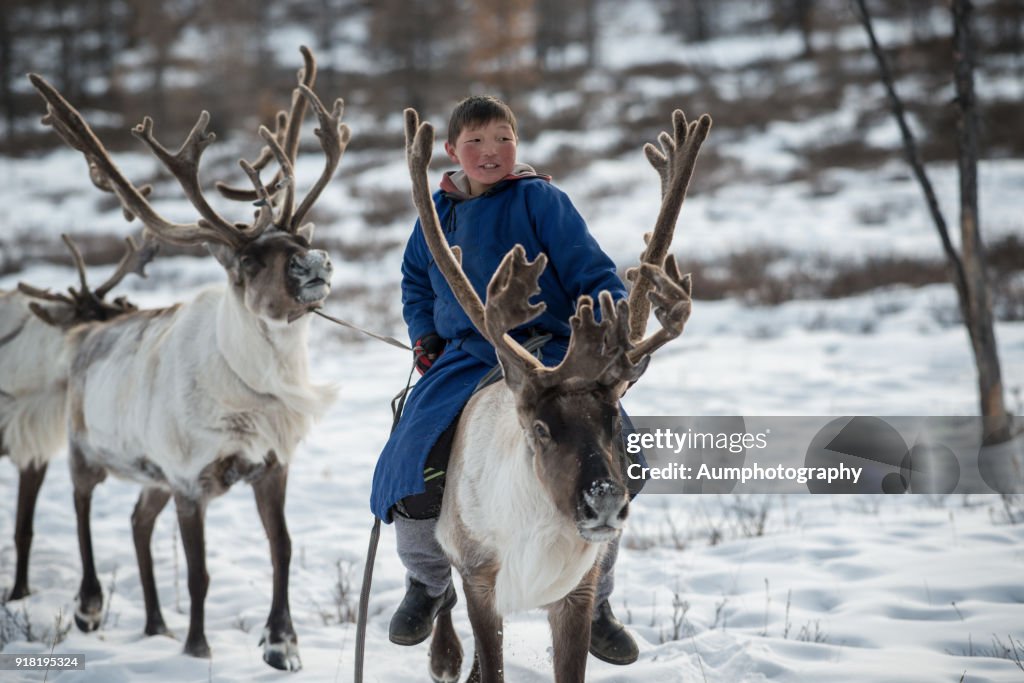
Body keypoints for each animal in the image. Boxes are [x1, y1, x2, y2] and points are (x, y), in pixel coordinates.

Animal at [26, 45, 349, 670]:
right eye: (249, 259)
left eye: (298, 239)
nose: (315, 262)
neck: (256, 389)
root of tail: (89, 330)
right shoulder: (189, 479)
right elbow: (199, 573)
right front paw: (198, 648)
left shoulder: (272, 466)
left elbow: (283, 549)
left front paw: (282, 645)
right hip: (85, 448)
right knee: (81, 506)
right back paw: (90, 607)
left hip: (150, 476)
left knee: (137, 522)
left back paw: (154, 623)